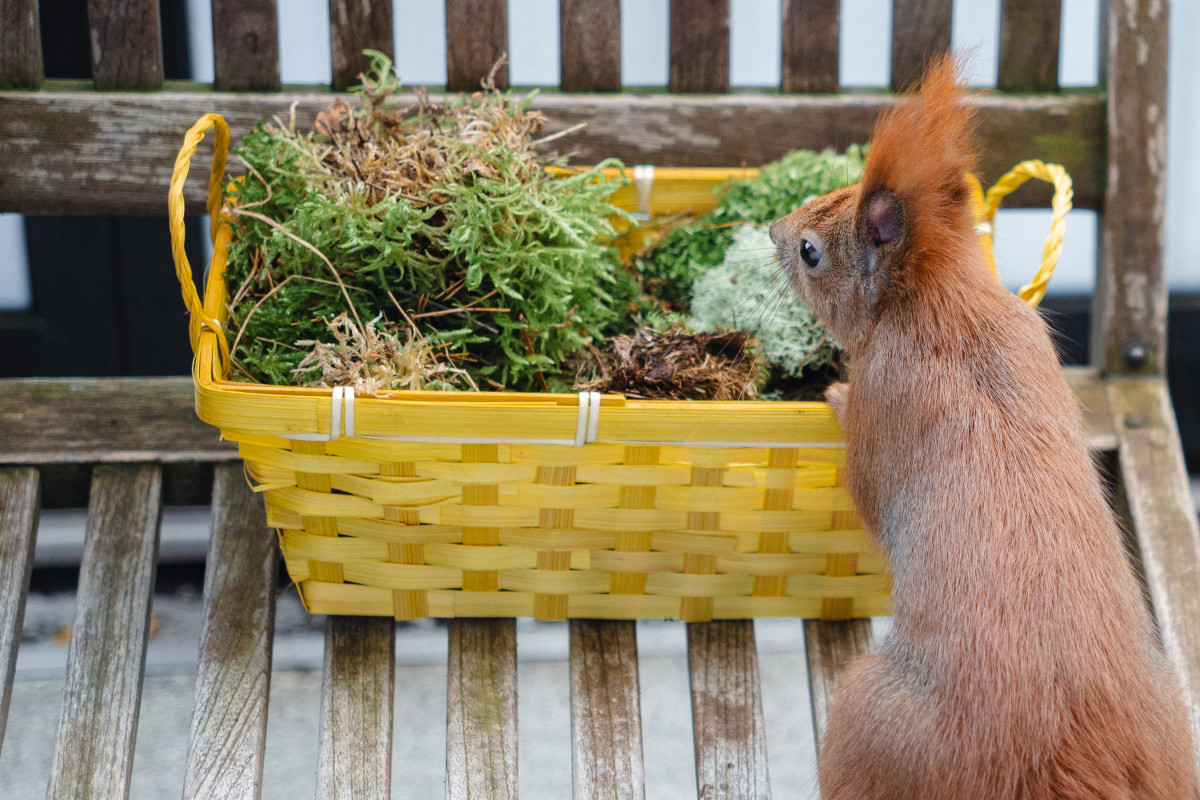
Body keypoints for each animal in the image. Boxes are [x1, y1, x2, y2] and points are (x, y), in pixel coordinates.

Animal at [768, 57, 1200, 800]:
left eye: (809, 252)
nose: (771, 230)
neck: (945, 306)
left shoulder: (885, 402)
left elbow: (865, 485)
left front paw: (835, 393)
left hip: (867, 716)